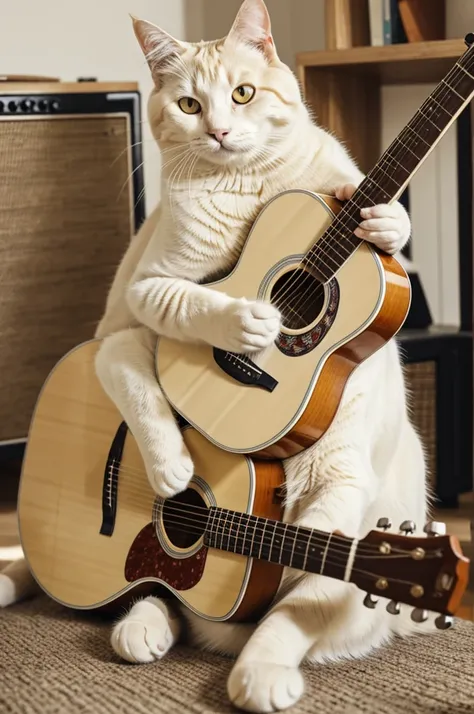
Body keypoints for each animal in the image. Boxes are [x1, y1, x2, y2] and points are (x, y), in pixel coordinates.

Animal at [0, 2, 436, 708]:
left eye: (243, 94)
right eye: (187, 104)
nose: (222, 132)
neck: (250, 184)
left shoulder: (342, 501)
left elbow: (301, 601)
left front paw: (261, 671)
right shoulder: (148, 290)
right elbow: (196, 305)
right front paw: (248, 322)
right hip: (116, 336)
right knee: (133, 392)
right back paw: (161, 511)